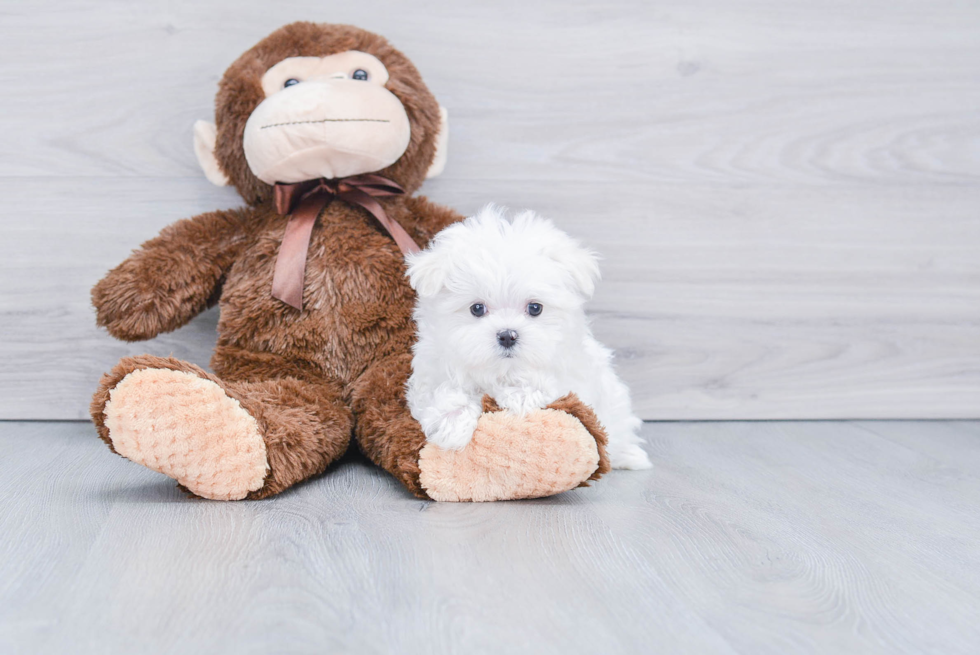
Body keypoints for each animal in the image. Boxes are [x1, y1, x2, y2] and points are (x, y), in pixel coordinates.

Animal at [404, 208, 652, 468]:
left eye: (535, 308)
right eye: (477, 309)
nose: (507, 335)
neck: (502, 371)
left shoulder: (572, 374)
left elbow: (547, 383)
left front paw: (518, 395)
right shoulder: (432, 372)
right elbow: (443, 391)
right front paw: (452, 421)